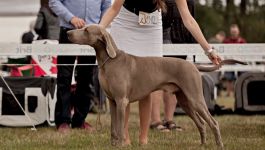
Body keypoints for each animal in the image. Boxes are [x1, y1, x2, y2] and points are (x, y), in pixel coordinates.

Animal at [67, 24, 245, 148]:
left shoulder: (122, 101)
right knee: (201, 123)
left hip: (195, 98)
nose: (68, 33)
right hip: (185, 101)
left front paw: (120, 145)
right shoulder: (112, 101)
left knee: (213, 122)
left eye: (86, 30)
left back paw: (219, 145)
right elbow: (113, 128)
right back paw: (202, 144)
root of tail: (193, 65)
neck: (109, 61)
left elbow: (119, 127)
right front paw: (113, 145)